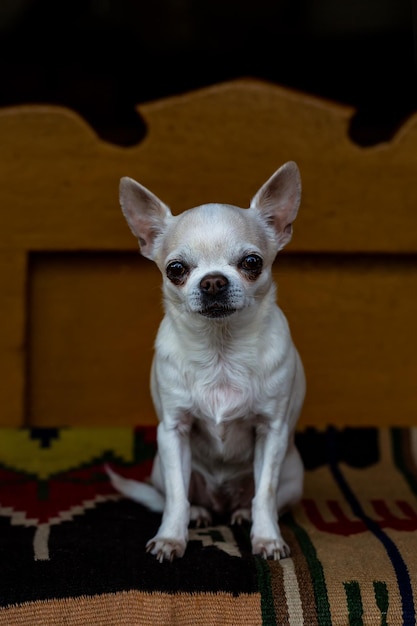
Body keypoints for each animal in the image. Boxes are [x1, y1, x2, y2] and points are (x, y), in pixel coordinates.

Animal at [105, 160, 304, 560]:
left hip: (294, 476)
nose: (213, 281)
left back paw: (242, 513)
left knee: (259, 497)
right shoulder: (173, 432)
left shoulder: (271, 433)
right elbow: (176, 497)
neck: (221, 351)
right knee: (185, 495)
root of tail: (221, 502)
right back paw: (199, 513)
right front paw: (171, 537)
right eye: (176, 269)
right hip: (159, 467)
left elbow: (265, 493)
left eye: (252, 262)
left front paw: (267, 538)